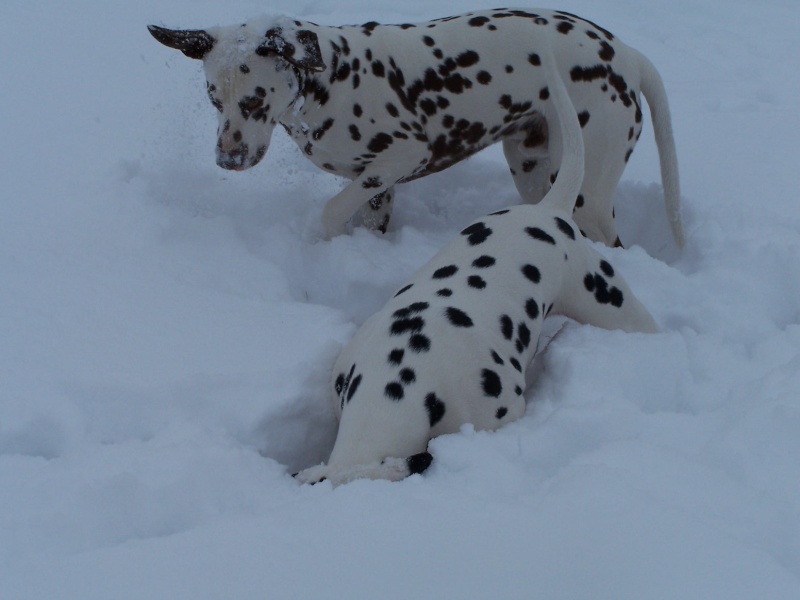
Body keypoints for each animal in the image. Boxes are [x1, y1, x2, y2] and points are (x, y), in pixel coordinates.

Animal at [148, 7, 680, 246]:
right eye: (213, 99)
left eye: (256, 99)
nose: (228, 159)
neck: (334, 77)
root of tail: (626, 54)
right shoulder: (377, 190)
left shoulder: (400, 157)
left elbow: (330, 212)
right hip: (533, 171)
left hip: (589, 195)